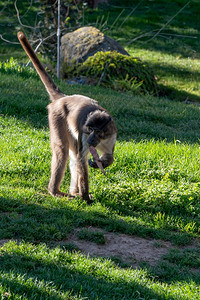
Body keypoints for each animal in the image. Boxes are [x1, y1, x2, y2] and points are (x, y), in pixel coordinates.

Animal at [17, 31, 117, 203]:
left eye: (98, 132)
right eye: (90, 130)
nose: (91, 140)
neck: (101, 139)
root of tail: (64, 98)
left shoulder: (111, 134)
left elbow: (108, 156)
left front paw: (101, 163)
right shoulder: (83, 134)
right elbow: (82, 162)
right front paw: (86, 197)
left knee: (73, 156)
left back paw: (74, 192)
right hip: (56, 115)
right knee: (63, 151)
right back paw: (56, 192)